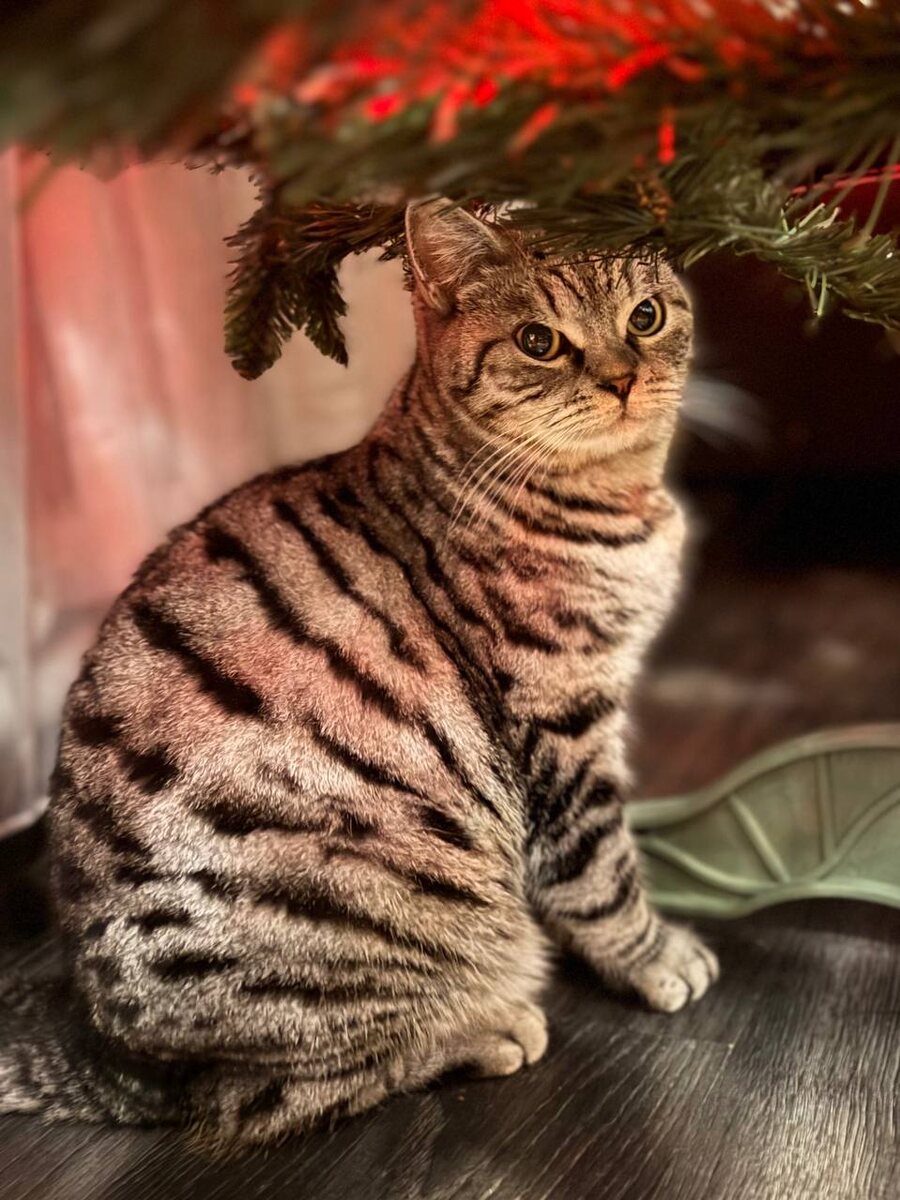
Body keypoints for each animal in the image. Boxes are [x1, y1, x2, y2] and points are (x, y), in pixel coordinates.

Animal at [0, 198, 718, 1149]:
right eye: (539, 340)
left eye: (646, 315)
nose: (623, 379)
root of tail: (108, 1055)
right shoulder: (558, 721)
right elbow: (599, 869)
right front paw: (656, 956)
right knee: (283, 1092)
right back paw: (488, 1027)